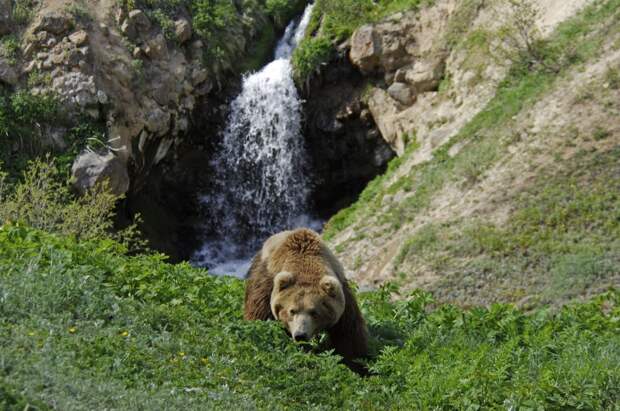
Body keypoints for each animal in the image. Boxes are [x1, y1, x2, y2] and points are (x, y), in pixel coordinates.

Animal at [242, 229, 368, 366]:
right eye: (292, 311)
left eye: (314, 312)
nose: (300, 335)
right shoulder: (266, 286)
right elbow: (260, 320)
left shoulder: (342, 298)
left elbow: (348, 335)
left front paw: (357, 362)